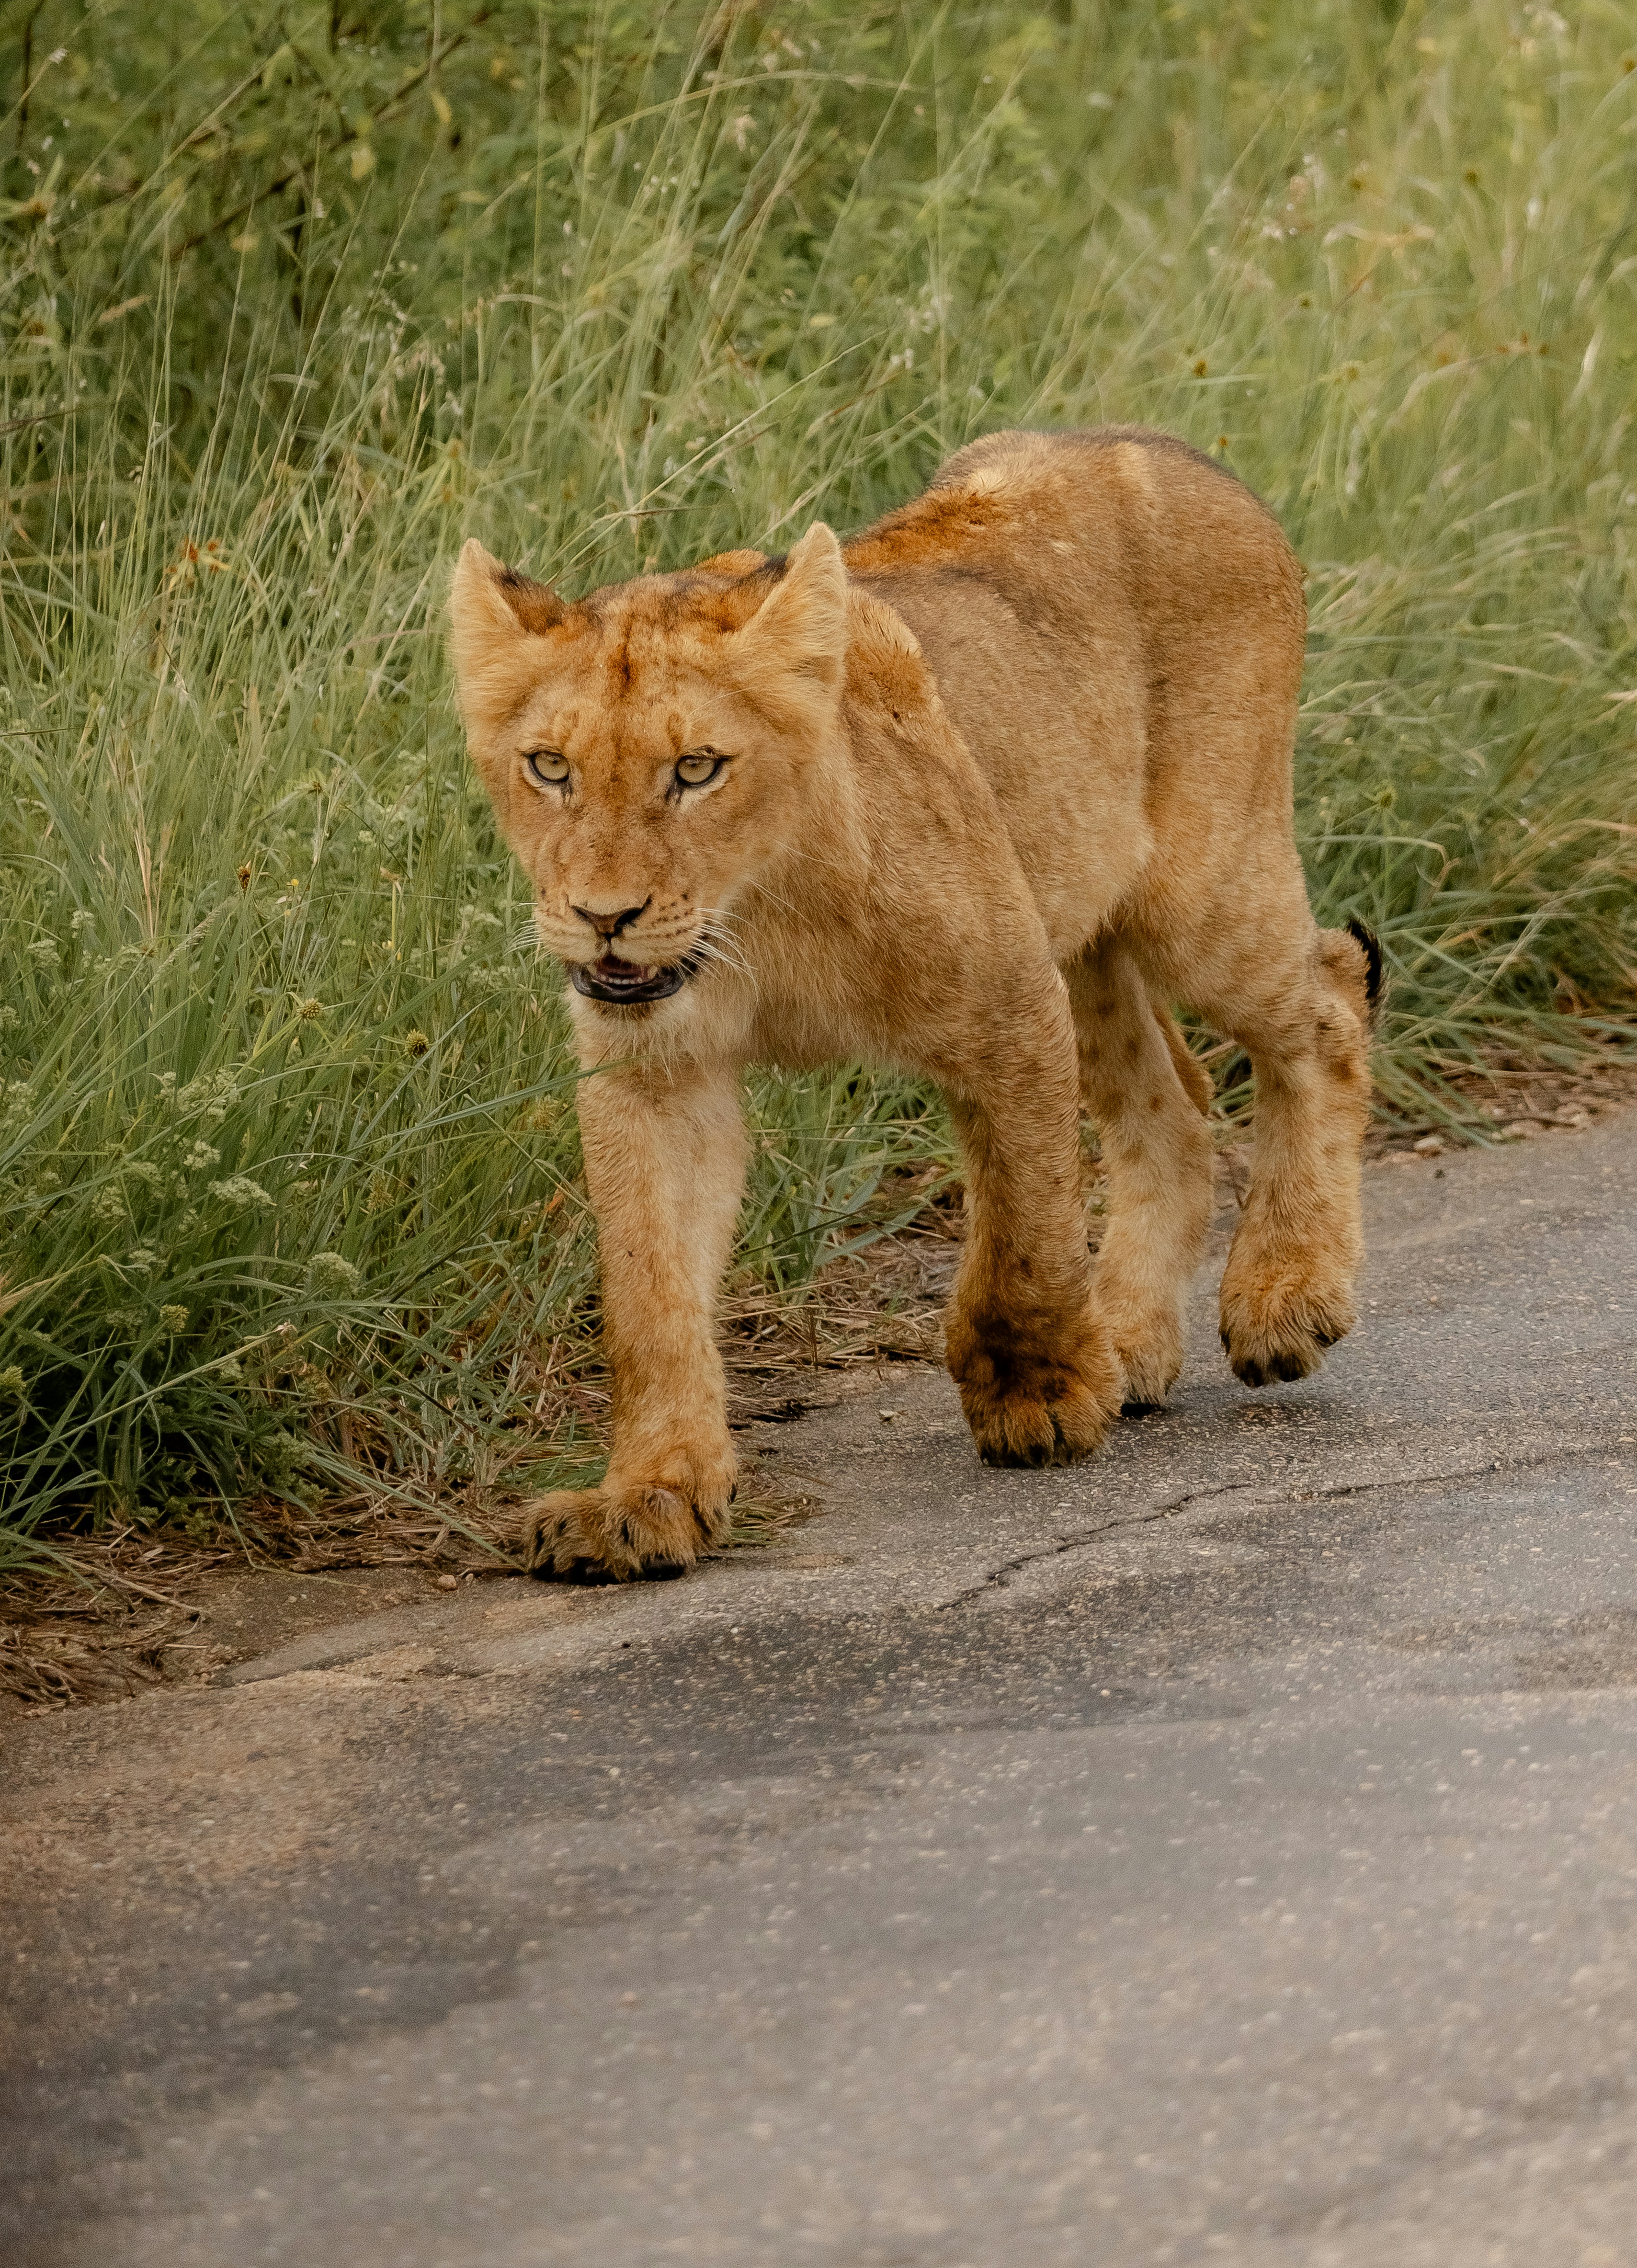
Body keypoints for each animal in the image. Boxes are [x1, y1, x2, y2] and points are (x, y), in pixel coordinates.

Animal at [449, 427, 1380, 1582]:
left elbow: (1020, 1235)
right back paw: (1128, 1338)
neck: (759, 913)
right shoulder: (658, 1069)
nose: (602, 916)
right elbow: (649, 1295)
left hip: (1198, 891)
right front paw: (647, 1498)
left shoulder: (1005, 1003)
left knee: (1328, 999)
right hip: (1079, 915)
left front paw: (1038, 1395)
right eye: (549, 767)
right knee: (1174, 1100)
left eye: (697, 770)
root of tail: (1166, 446)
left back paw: (1280, 1300)